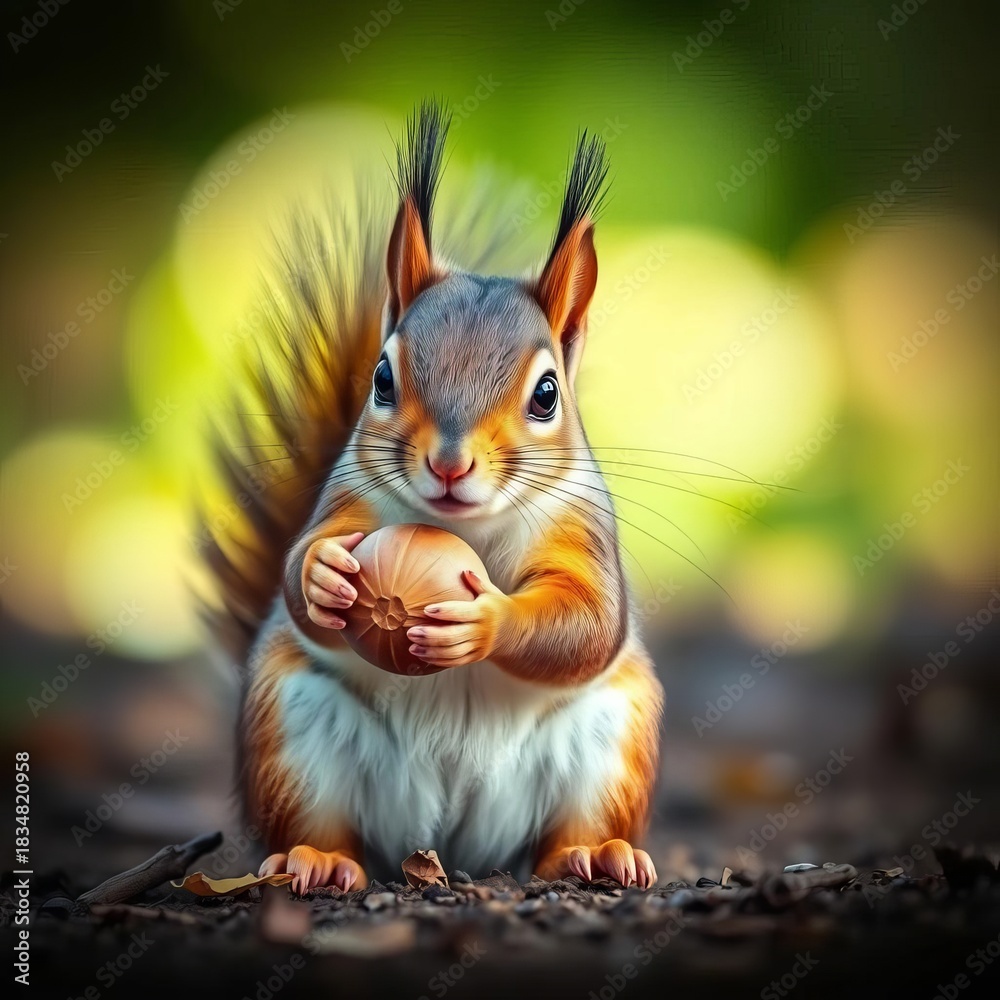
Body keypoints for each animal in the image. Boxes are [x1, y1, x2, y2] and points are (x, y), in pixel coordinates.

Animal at [204, 101, 664, 894]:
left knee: (566, 835)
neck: (468, 528)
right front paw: (323, 575)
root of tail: (455, 846)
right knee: (325, 827)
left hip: (612, 739)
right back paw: (317, 860)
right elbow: (298, 564)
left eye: (547, 394)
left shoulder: (583, 532)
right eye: (382, 380)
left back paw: (593, 855)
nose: (449, 463)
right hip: (292, 727)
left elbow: (589, 621)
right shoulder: (347, 502)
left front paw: (485, 622)